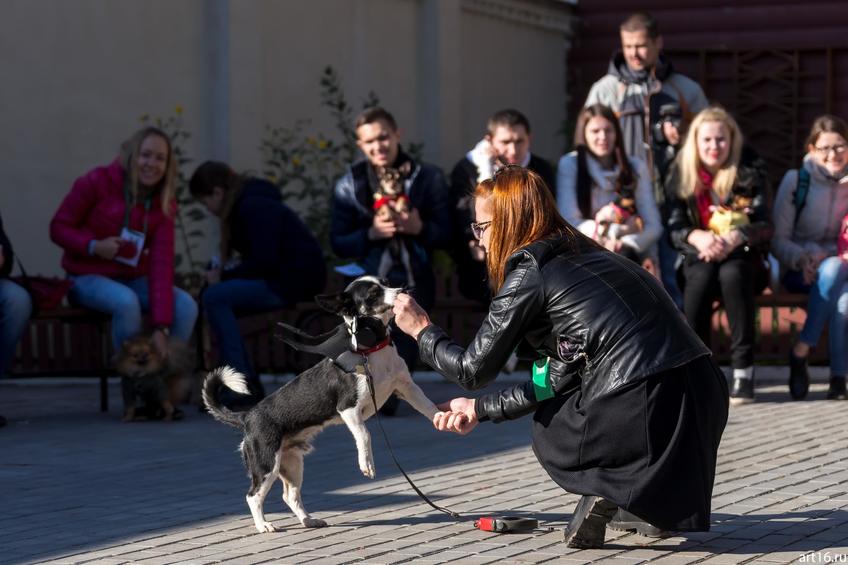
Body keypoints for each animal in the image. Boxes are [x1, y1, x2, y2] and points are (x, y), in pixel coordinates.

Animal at [202, 276, 440, 532]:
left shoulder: (406, 388)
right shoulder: (348, 408)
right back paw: (264, 525)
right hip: (266, 464)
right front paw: (366, 464)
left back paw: (309, 520)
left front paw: (443, 418)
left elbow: (429, 406)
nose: (403, 289)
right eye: (373, 294)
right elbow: (364, 434)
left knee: (290, 496)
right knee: (252, 495)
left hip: (292, 464)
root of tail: (246, 416)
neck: (372, 348)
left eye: (387, 282)